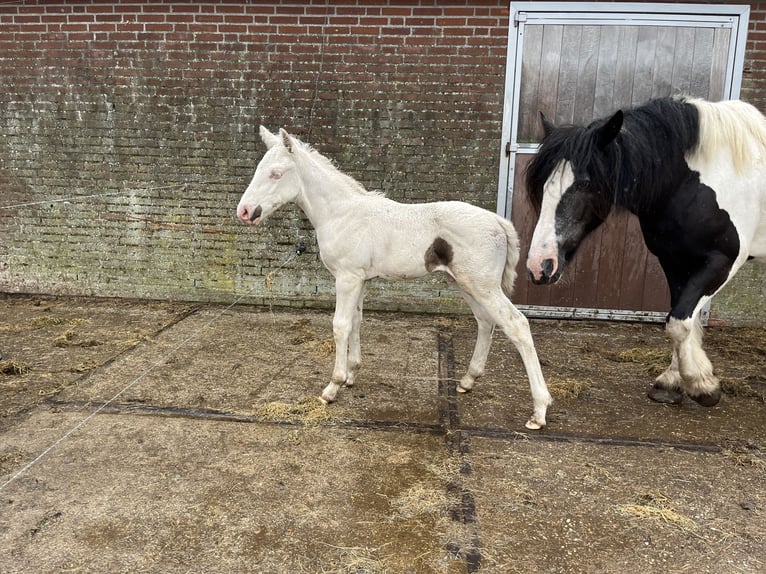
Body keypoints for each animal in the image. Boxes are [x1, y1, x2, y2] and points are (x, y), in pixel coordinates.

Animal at [528, 97, 766, 408]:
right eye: (543, 184)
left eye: (585, 183)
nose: (539, 266)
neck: (691, 182)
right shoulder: (674, 260)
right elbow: (681, 320)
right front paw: (674, 382)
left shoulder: (721, 262)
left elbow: (679, 322)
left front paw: (702, 385)